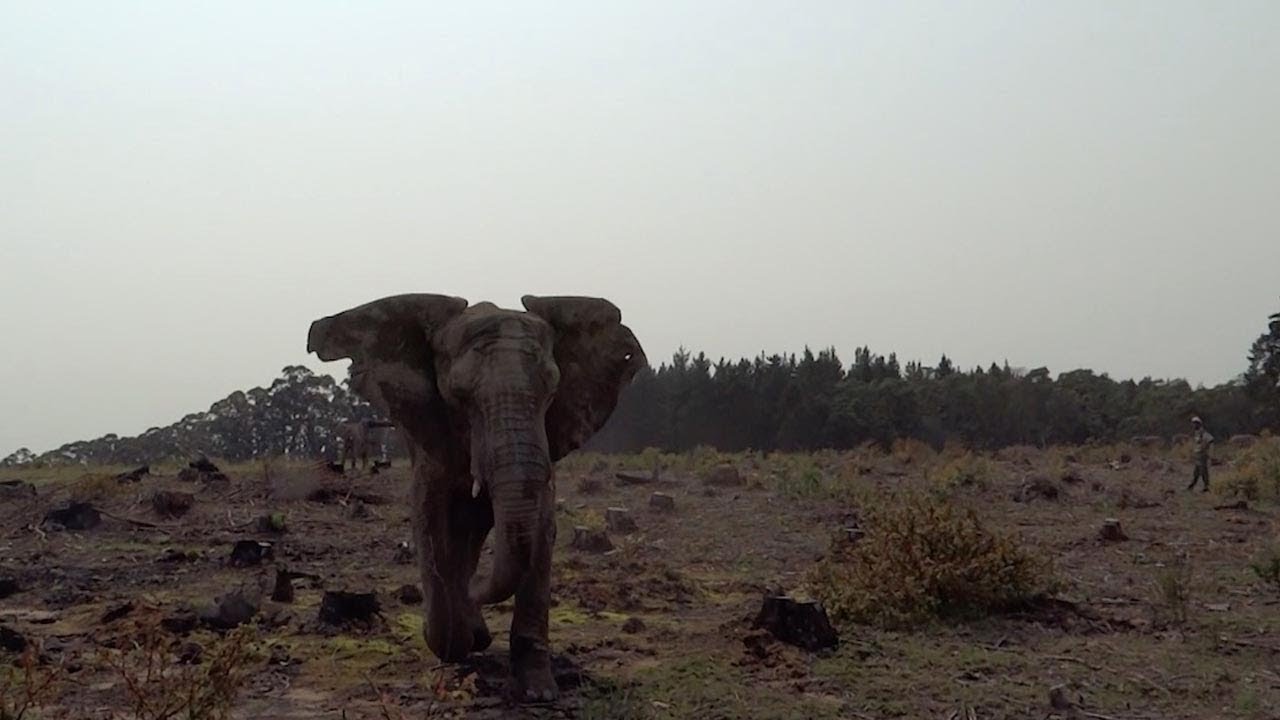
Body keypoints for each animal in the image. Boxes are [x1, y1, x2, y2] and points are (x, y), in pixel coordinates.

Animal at [306, 293, 644, 701]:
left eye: (551, 393)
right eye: (460, 396)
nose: (475, 591)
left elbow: (541, 529)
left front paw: (538, 692)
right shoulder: (431, 439)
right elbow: (430, 522)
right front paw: (454, 641)